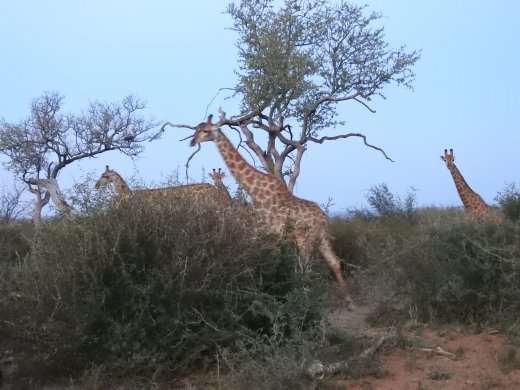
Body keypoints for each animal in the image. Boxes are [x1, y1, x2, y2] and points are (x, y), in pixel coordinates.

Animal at [190, 114, 354, 306]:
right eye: (195, 129)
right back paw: (349, 302)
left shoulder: (272, 234)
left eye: (206, 131)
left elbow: (270, 264)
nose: (192, 141)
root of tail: (322, 216)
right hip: (321, 236)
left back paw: (306, 299)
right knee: (333, 262)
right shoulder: (264, 234)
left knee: (307, 266)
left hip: (307, 237)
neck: (257, 191)